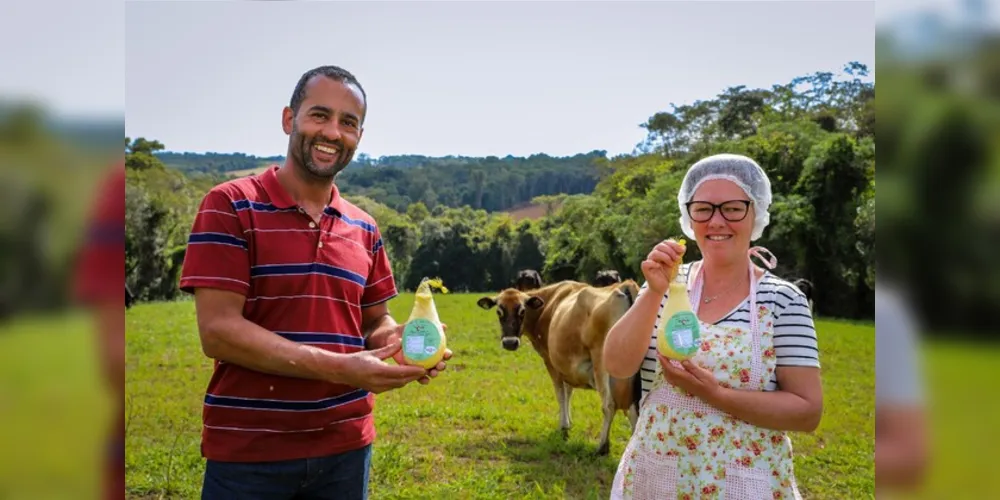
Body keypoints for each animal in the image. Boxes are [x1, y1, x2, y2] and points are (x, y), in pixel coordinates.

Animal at [478, 280, 640, 456]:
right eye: (499, 311)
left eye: (522, 311)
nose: (509, 342)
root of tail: (624, 285)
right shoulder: (567, 366)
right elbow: (568, 391)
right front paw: (568, 422)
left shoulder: (551, 362)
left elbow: (560, 394)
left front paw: (563, 427)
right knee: (634, 408)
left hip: (601, 363)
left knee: (609, 405)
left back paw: (602, 447)